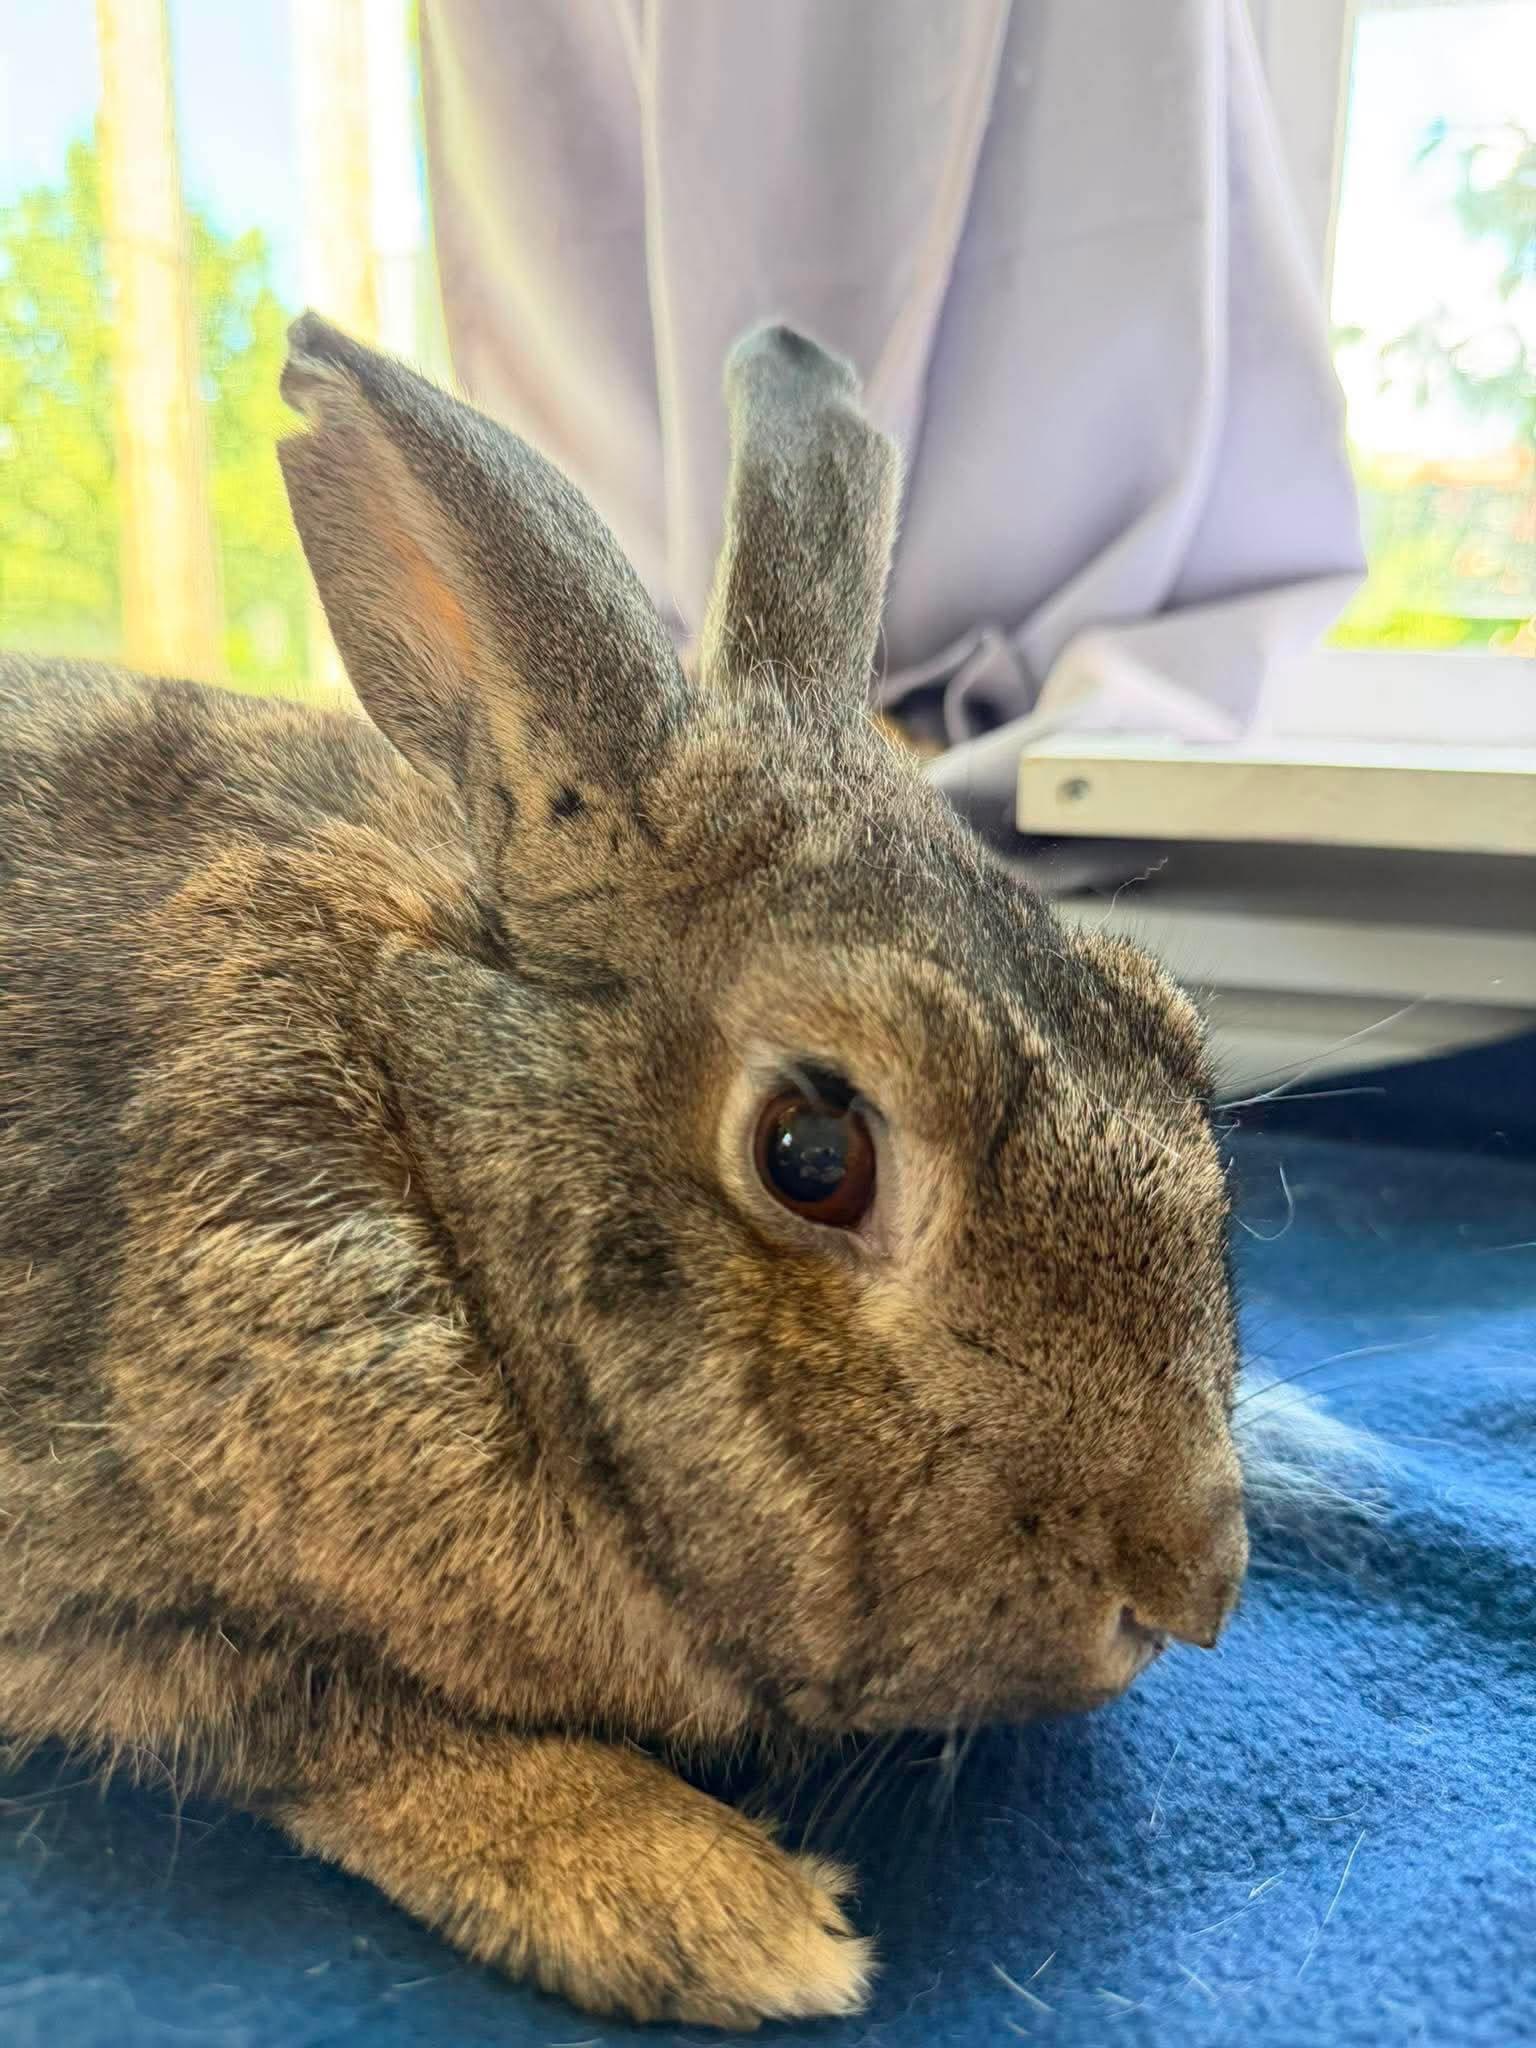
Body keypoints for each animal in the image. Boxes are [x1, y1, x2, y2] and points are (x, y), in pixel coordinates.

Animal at [0, 315, 1247, 2029]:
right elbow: (335, 1717)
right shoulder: (104, 1589)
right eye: (812, 1154)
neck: (428, 1155)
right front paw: (710, 1908)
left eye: (1164, 1024)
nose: (1193, 1581)